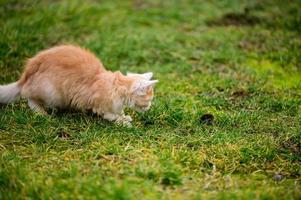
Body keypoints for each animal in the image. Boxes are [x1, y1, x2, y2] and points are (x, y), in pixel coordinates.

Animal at [0, 45, 158, 126]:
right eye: (149, 100)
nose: (150, 107)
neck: (117, 86)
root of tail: (26, 75)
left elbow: (118, 112)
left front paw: (124, 116)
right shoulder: (99, 105)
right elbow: (111, 115)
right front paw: (123, 121)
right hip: (52, 93)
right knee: (29, 98)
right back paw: (41, 113)